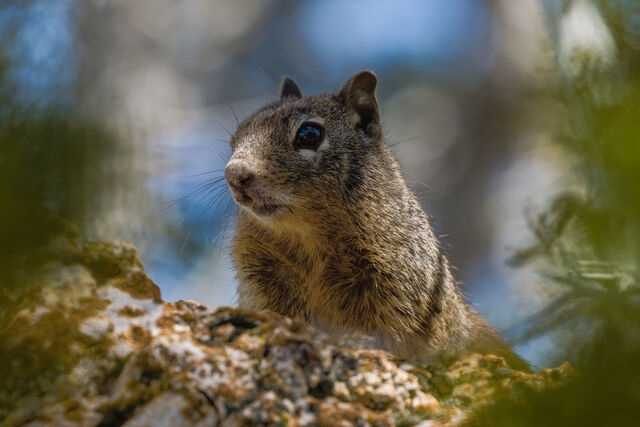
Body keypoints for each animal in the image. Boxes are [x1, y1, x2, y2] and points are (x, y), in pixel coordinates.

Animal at [224, 71, 528, 370]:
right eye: (235, 139)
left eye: (309, 134)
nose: (234, 174)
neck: (307, 238)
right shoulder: (261, 278)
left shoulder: (398, 287)